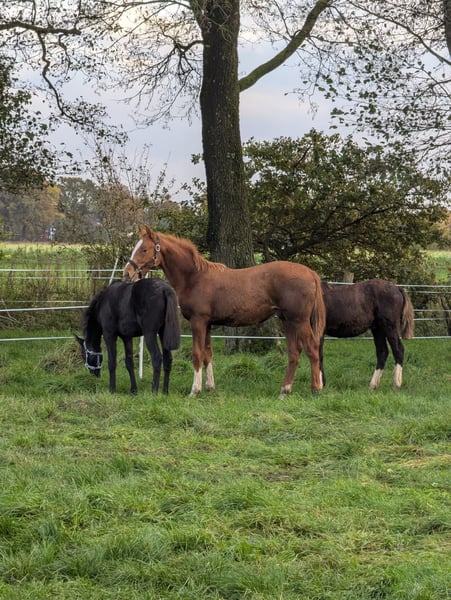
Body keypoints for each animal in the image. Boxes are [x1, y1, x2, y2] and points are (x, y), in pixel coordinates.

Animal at [123, 226, 326, 397]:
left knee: (312, 348)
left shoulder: (198, 322)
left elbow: (197, 354)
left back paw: (316, 389)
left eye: (144, 249)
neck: (194, 277)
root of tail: (311, 273)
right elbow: (207, 355)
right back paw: (284, 390)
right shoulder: (208, 324)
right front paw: (209, 387)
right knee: (294, 353)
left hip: (299, 321)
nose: (127, 273)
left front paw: (194, 390)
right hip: (287, 321)